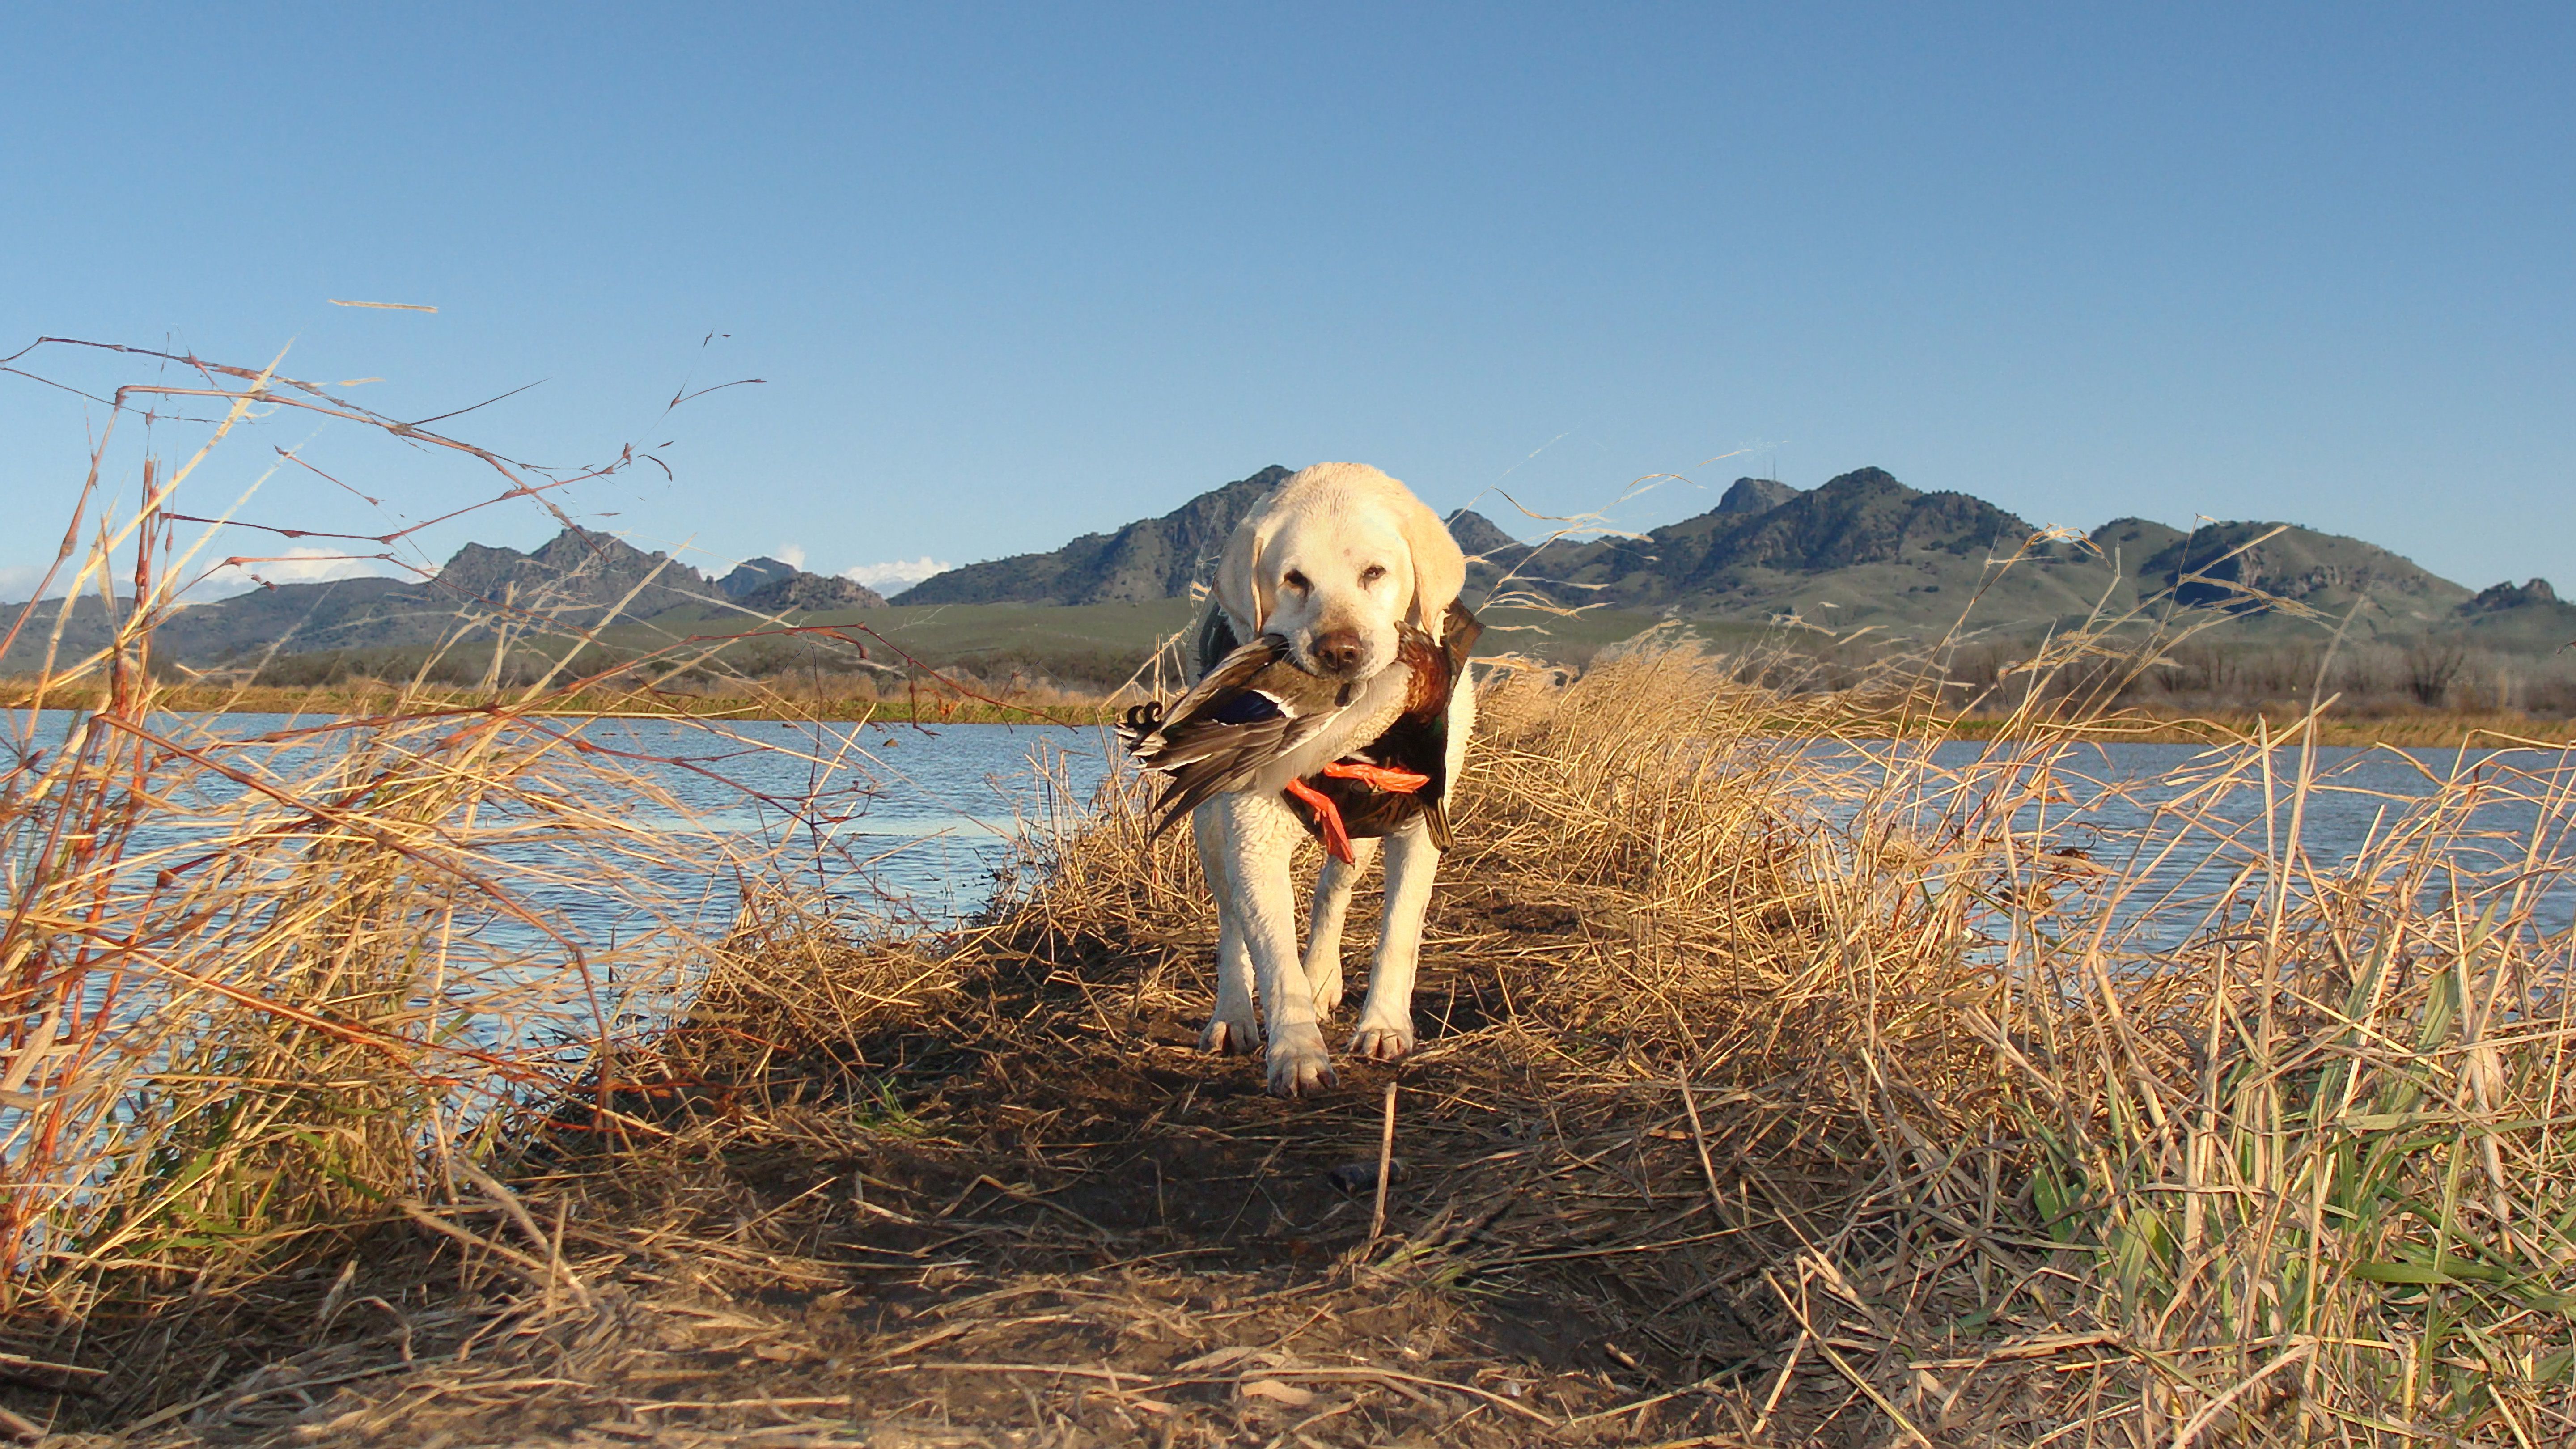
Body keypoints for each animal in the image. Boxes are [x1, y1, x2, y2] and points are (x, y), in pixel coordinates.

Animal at [1180, 464, 1483, 1093]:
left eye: (1375, 572)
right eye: (1295, 579)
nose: (1339, 651)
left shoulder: (1419, 830)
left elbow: (1398, 935)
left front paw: (1385, 1027)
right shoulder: (1253, 838)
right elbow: (1273, 955)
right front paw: (1297, 1053)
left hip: (1361, 837)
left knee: (1331, 893)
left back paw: (1323, 978)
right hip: (1212, 832)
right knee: (1232, 924)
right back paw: (1233, 1016)